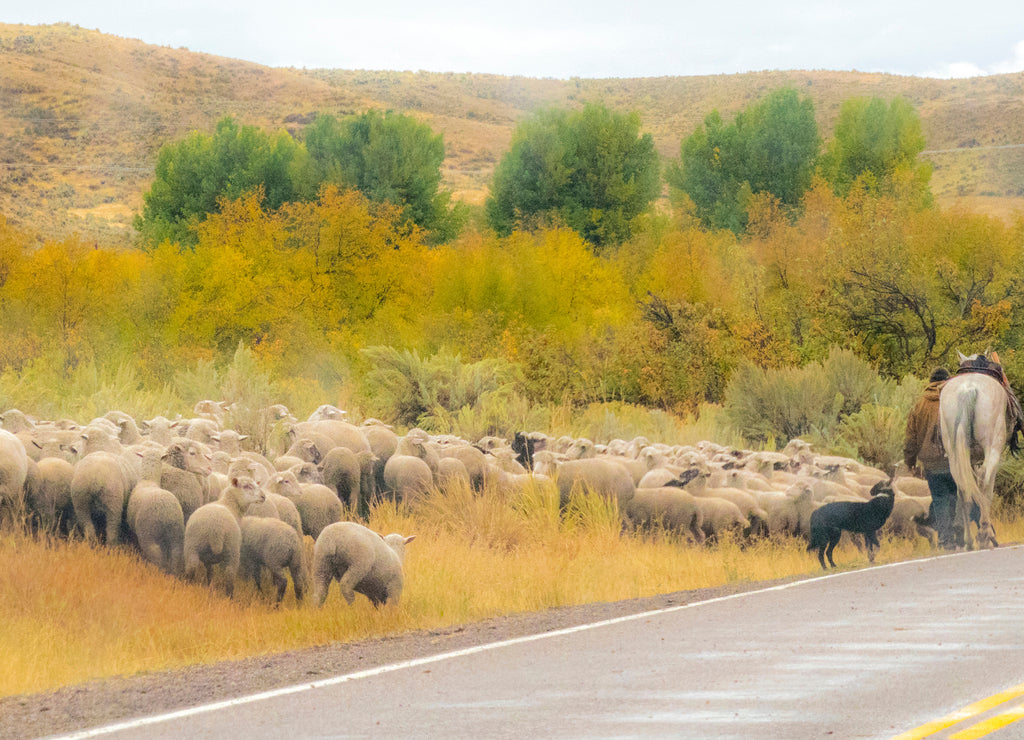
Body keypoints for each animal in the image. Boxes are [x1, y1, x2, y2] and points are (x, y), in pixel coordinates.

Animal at [937, 354, 1011, 548]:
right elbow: (987, 490)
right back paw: (984, 534)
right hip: (992, 446)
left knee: (962, 487)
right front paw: (988, 533)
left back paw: (968, 541)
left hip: (954, 452)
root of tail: (968, 389)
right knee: (984, 480)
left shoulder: (970, 459)